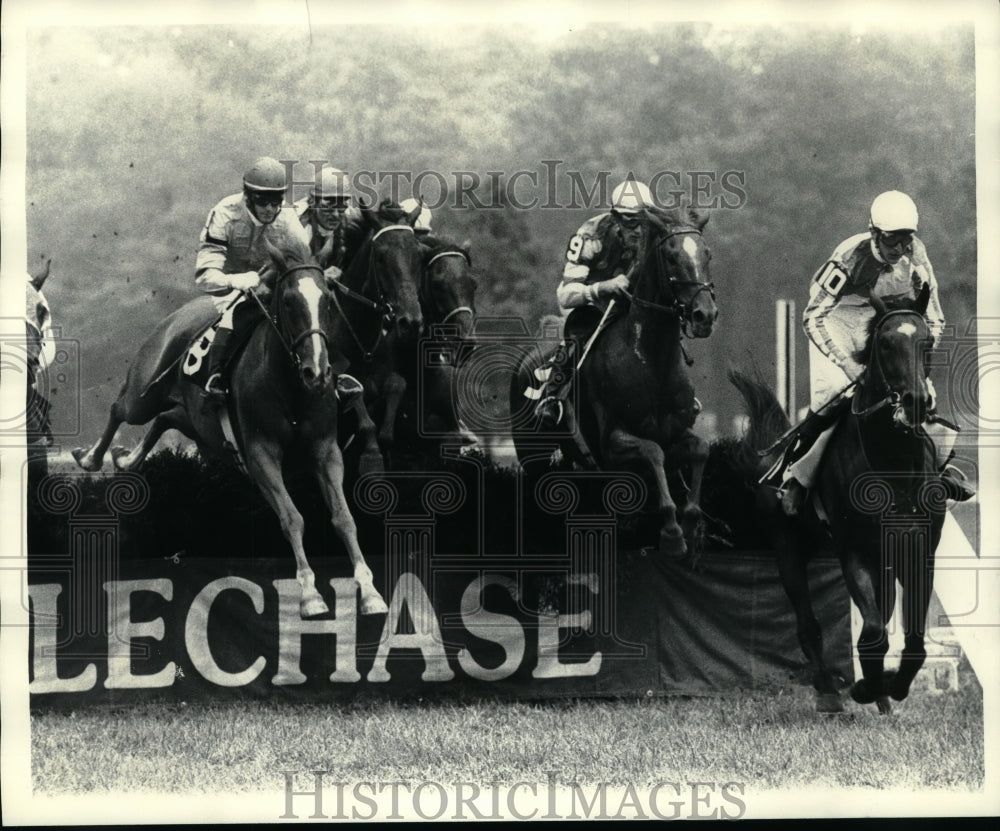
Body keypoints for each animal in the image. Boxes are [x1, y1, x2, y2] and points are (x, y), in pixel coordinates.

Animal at [70, 234, 388, 616]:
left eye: (326, 298)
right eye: (288, 300)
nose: (317, 371)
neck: (291, 387)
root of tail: (177, 316)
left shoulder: (325, 450)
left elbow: (343, 517)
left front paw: (369, 591)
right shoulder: (261, 453)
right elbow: (292, 518)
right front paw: (310, 595)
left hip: (194, 422)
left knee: (164, 419)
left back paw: (126, 459)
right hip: (143, 394)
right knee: (120, 409)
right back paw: (91, 457)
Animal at [508, 206, 720, 552]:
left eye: (707, 254)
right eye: (672, 256)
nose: (705, 315)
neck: (650, 361)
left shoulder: (677, 432)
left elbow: (700, 448)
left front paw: (690, 524)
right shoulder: (611, 443)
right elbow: (652, 452)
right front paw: (672, 533)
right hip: (531, 453)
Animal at [732, 284, 940, 708]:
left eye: (926, 341)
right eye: (885, 343)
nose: (914, 401)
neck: (892, 465)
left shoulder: (917, 549)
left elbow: (913, 641)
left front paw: (891, 686)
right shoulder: (853, 550)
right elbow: (872, 632)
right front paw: (865, 687)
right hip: (788, 546)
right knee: (808, 624)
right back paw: (830, 694)